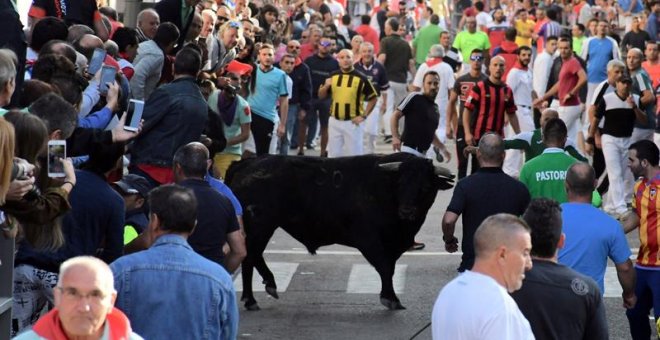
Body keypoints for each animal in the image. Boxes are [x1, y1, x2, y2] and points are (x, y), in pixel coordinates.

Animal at [226, 153, 454, 310]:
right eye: (400, 183)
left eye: (426, 186)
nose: (406, 211)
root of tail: (247, 163)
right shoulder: (369, 241)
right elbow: (384, 268)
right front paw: (390, 298)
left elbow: (390, 268)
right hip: (260, 226)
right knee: (250, 256)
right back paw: (253, 297)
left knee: (253, 255)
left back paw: (261, 291)